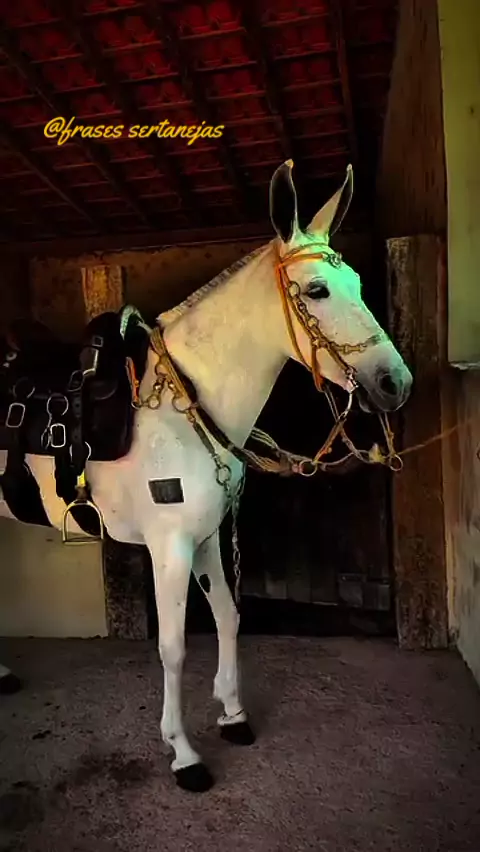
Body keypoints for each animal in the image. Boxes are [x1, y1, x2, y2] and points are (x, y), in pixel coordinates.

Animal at [0, 160, 412, 792]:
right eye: (317, 290)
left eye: (362, 287)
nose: (396, 384)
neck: (184, 406)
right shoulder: (169, 545)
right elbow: (173, 647)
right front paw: (184, 754)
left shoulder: (207, 536)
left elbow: (227, 615)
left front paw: (233, 713)